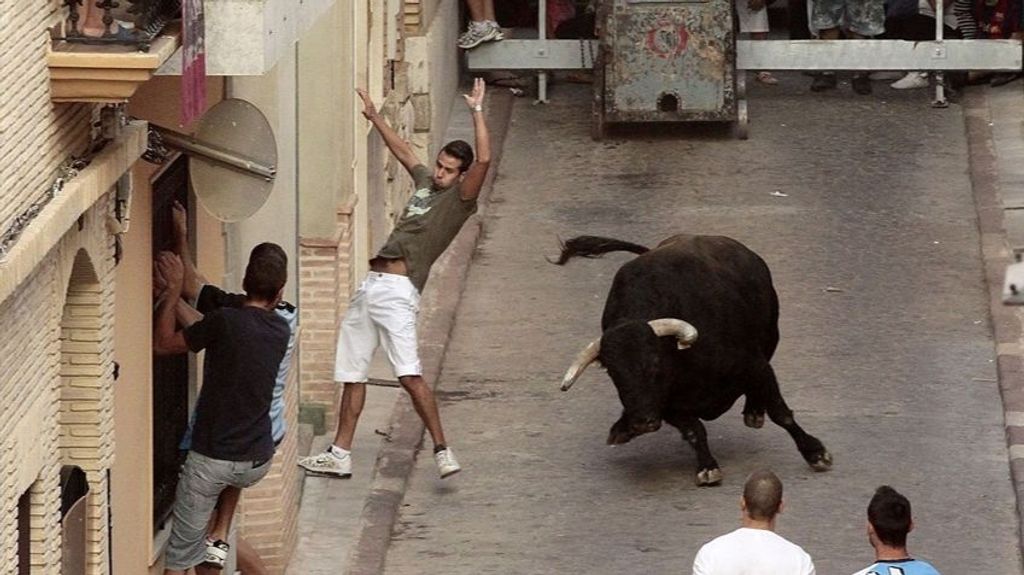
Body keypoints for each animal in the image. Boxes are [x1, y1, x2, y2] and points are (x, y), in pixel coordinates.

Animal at [552, 233, 831, 482]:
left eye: (654, 363)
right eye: (613, 373)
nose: (641, 422)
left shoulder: (754, 365)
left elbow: (781, 413)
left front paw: (816, 453)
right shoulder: (667, 405)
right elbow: (694, 430)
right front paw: (707, 466)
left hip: (771, 335)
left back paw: (754, 411)